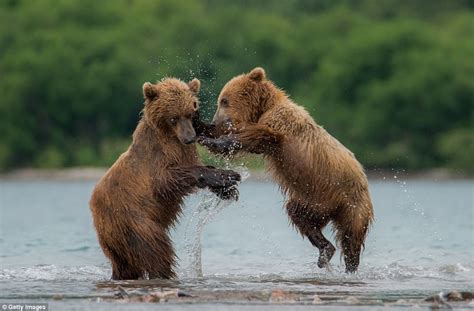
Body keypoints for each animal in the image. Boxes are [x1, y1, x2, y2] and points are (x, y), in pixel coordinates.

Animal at [88, 77, 241, 280]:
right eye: (173, 117)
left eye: (190, 113)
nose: (190, 138)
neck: (170, 136)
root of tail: (95, 212)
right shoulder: (158, 156)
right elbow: (167, 179)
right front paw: (229, 175)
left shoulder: (184, 151)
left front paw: (228, 189)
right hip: (134, 221)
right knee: (156, 251)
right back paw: (164, 272)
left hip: (116, 242)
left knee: (125, 265)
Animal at [199, 67, 374, 272]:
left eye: (224, 100)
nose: (215, 122)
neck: (264, 107)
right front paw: (202, 130)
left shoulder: (279, 126)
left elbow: (253, 137)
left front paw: (212, 140)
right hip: (310, 201)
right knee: (299, 216)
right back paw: (325, 250)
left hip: (351, 203)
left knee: (351, 236)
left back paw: (350, 265)